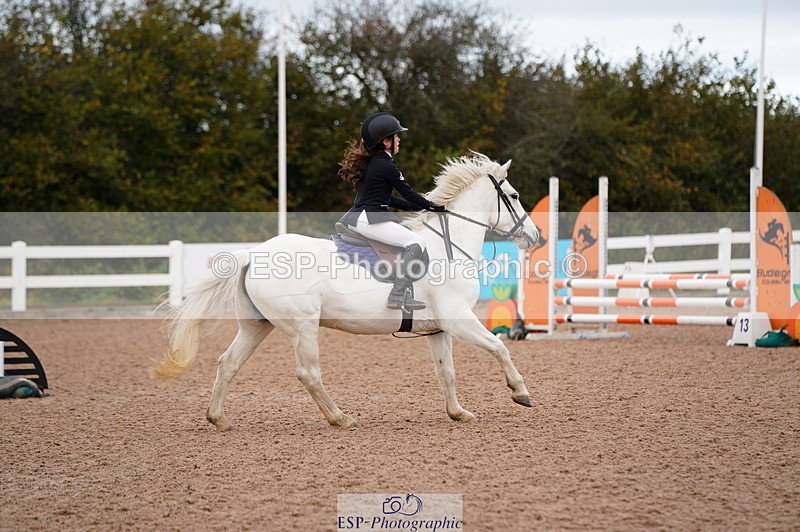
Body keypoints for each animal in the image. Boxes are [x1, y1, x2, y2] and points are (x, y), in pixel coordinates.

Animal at [152, 152, 540, 431]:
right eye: (515, 195)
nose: (535, 236)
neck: (449, 246)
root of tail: (253, 253)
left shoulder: (439, 329)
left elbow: (447, 372)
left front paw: (458, 413)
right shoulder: (458, 320)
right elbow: (499, 346)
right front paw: (520, 391)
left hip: (256, 326)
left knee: (228, 363)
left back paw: (219, 419)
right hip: (303, 326)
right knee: (308, 373)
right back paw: (340, 418)